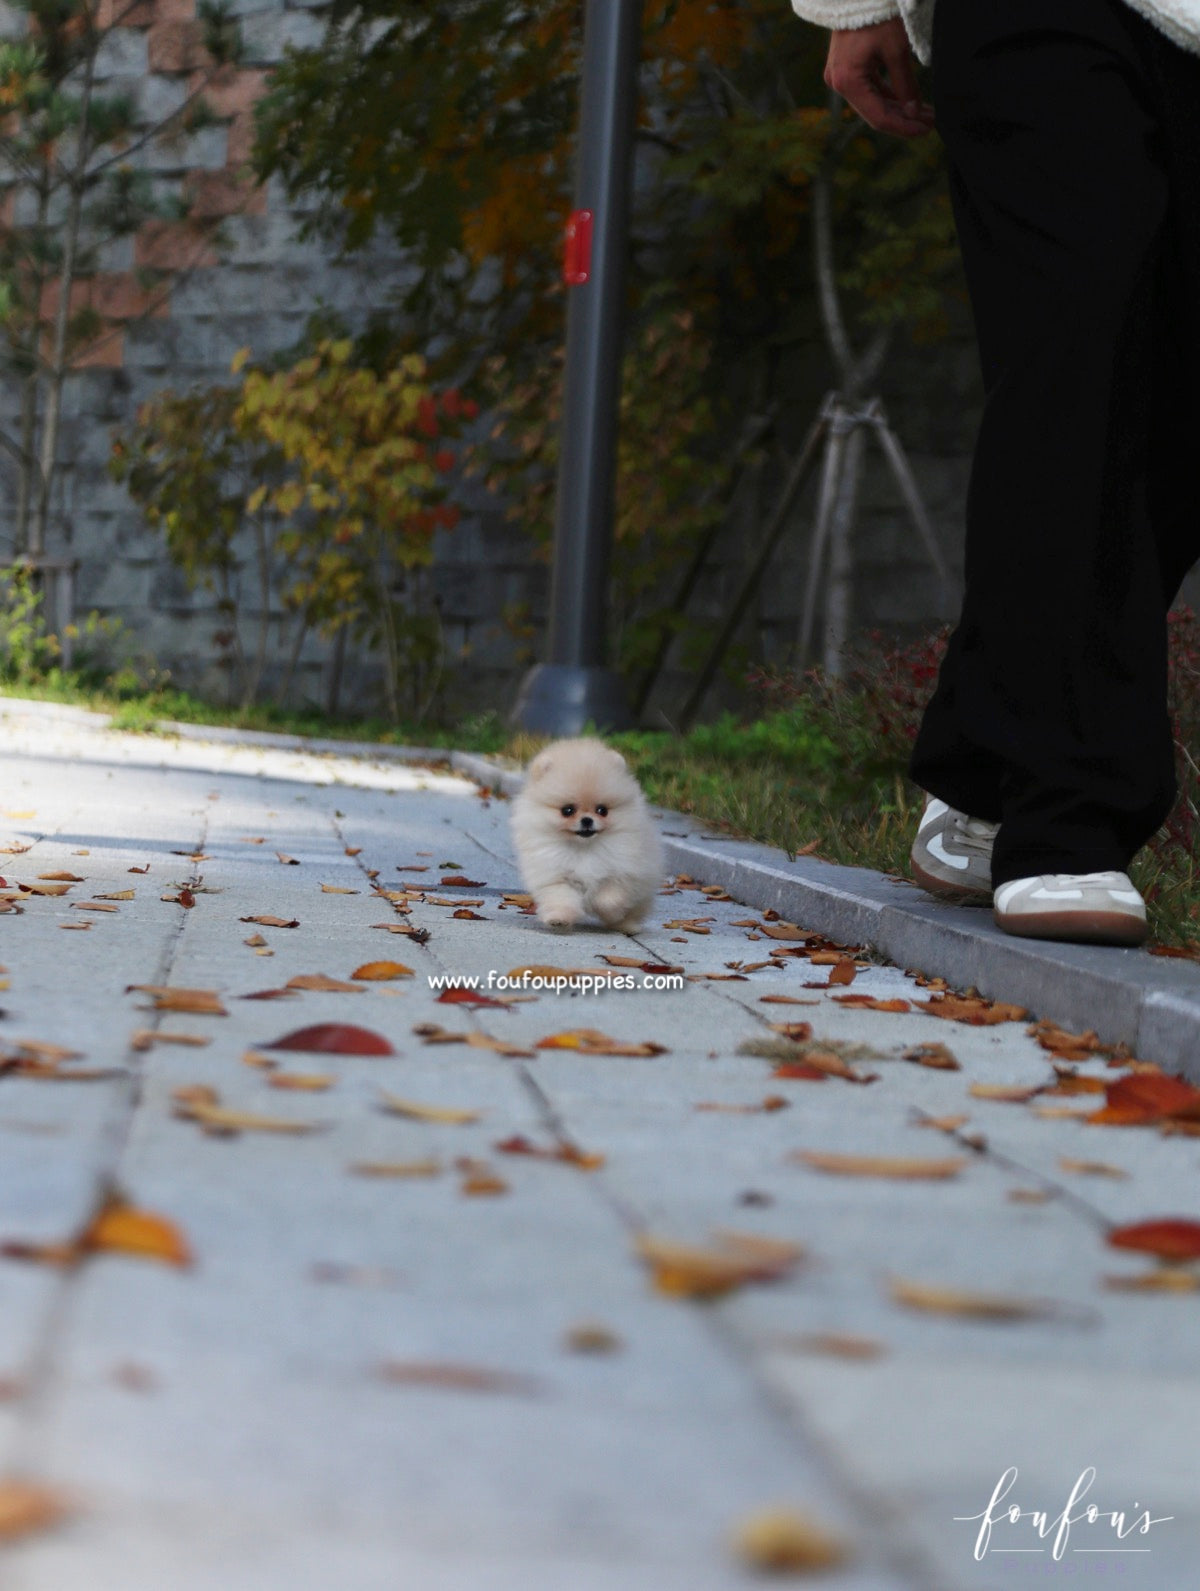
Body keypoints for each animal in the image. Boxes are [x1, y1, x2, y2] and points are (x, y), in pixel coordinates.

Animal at [506, 735, 665, 929]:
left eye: (602, 810)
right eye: (567, 810)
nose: (587, 820)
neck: (583, 848)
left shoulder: (624, 873)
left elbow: (608, 899)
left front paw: (606, 910)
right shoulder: (557, 876)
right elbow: (561, 898)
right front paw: (559, 918)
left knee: (635, 911)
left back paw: (627, 926)